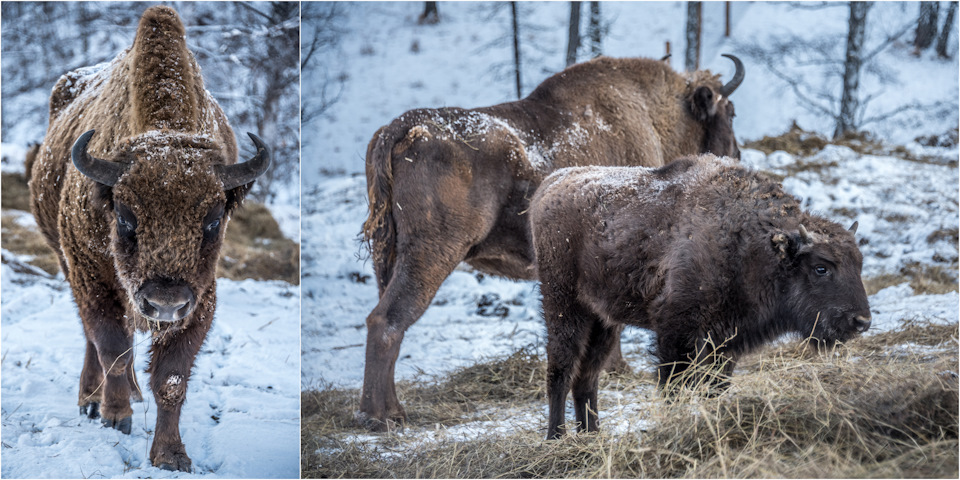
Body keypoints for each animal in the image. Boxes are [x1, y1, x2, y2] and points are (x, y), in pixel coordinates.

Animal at [29, 6, 270, 472]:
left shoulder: (200, 297)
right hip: (67, 263)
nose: (164, 302)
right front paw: (115, 416)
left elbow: (172, 378)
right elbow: (113, 349)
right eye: (125, 216)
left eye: (214, 220)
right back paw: (91, 400)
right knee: (93, 338)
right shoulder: (92, 277)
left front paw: (171, 455)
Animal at [358, 54, 744, 430]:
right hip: (431, 255)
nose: (736, 155)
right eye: (730, 112)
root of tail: (399, 129)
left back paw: (379, 411)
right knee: (387, 321)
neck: (656, 116)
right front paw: (618, 369)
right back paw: (384, 417)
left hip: (386, 256)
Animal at [528, 156, 872, 440]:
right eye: (821, 268)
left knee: (587, 377)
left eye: (859, 264)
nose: (862, 321)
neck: (751, 245)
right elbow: (674, 388)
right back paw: (556, 438)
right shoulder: (675, 333)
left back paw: (592, 437)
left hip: (603, 321)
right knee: (561, 369)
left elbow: (714, 388)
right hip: (564, 306)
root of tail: (550, 185)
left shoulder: (725, 344)